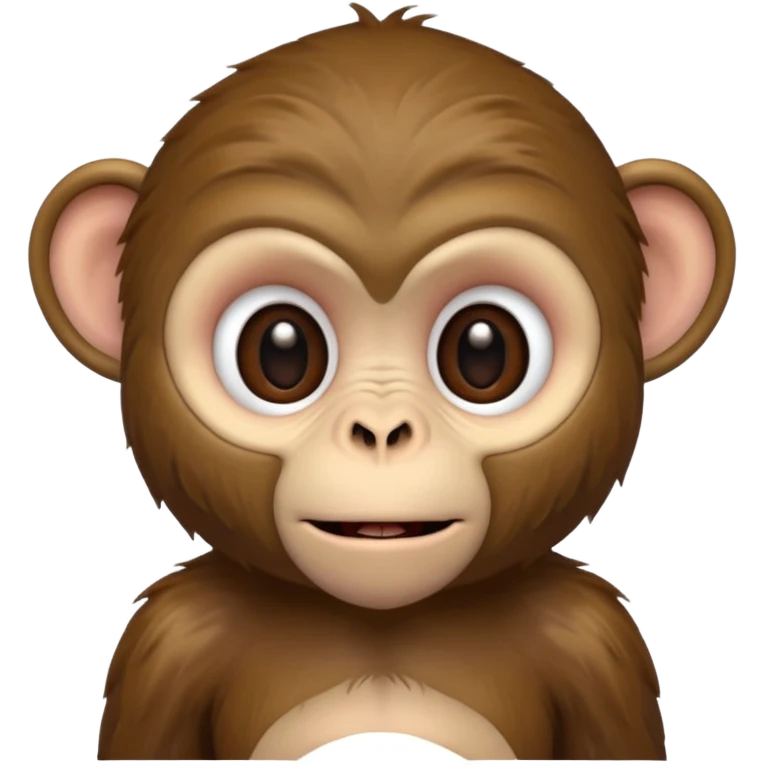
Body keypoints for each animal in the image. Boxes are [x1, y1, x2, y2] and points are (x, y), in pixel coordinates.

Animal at [28, 3, 736, 761]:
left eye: (484, 351)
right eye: (280, 351)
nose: (380, 431)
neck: (382, 624)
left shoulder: (592, 641)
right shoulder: (171, 642)